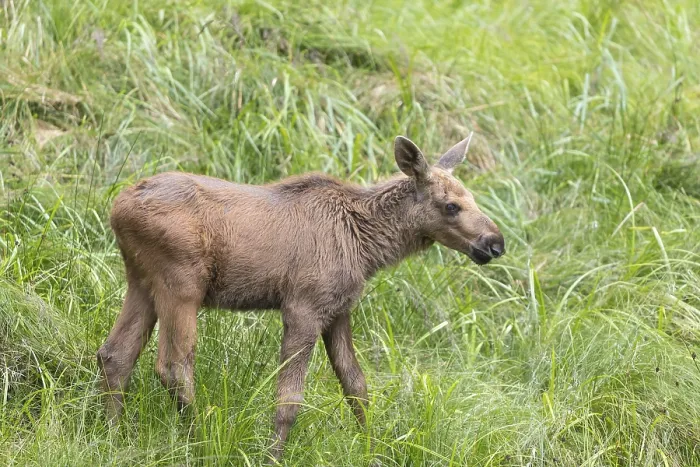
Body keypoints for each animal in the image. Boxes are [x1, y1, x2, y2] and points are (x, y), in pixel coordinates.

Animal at [96, 134, 505, 462]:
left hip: (142, 281)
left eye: (471, 197)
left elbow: (357, 386)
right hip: (181, 283)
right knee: (173, 366)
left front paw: (372, 450)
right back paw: (201, 445)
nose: (495, 243)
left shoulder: (338, 310)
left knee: (116, 354)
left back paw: (113, 436)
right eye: (451, 205)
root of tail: (117, 208)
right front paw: (272, 456)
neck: (367, 246)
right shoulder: (303, 307)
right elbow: (289, 399)